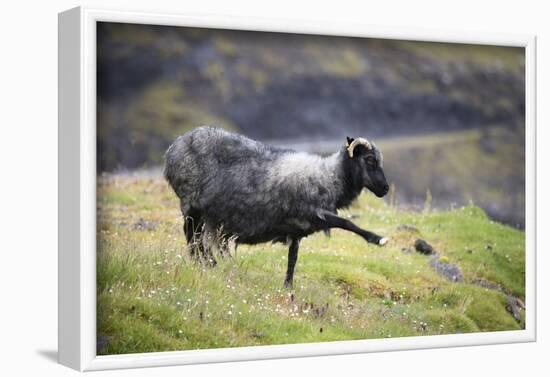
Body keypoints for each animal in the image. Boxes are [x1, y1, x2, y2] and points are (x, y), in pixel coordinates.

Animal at [165, 125, 392, 286]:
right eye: (369, 159)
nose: (385, 189)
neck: (329, 177)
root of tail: (174, 147)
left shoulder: (298, 229)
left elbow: (293, 259)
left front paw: (288, 287)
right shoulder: (315, 212)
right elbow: (347, 223)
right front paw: (378, 239)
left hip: (203, 212)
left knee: (197, 238)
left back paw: (209, 264)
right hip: (192, 204)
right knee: (192, 236)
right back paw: (207, 264)